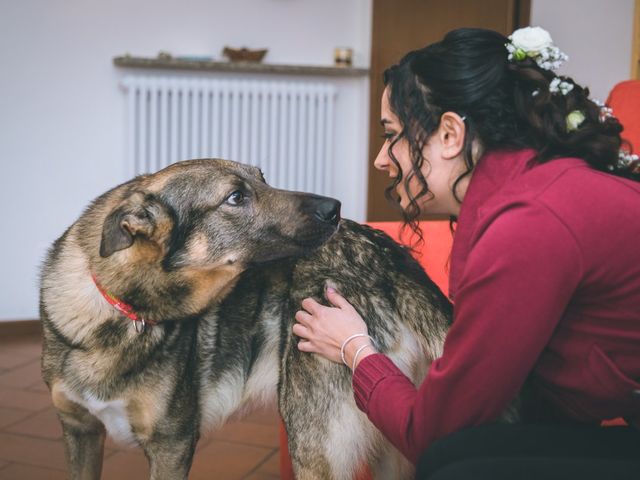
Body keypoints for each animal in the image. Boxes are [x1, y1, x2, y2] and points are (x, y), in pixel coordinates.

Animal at [40, 159, 452, 478]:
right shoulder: (80, 431)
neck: (119, 309)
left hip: (313, 447)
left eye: (262, 177)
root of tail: (389, 255)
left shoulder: (171, 446)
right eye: (235, 197)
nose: (334, 208)